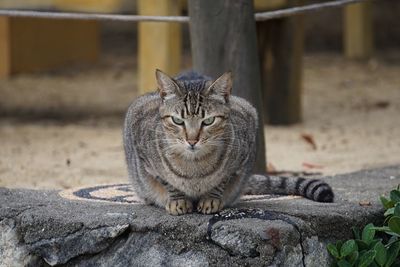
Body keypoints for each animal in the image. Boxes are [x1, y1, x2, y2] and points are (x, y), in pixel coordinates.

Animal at [122, 70, 334, 217]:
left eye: (208, 121)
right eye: (177, 121)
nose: (192, 140)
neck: (194, 166)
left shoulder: (244, 148)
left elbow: (221, 181)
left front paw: (211, 199)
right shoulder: (143, 154)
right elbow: (168, 182)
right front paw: (178, 200)